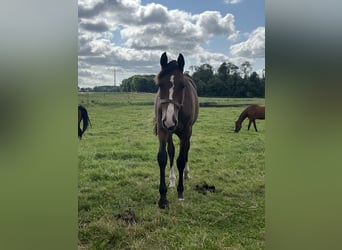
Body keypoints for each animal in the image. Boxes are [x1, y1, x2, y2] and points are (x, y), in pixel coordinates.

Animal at [154, 52, 199, 209]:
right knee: (172, 151)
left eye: (183, 86)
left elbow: (181, 159)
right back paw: (172, 180)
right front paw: (163, 198)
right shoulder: (163, 130)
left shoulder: (186, 132)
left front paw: (180, 192)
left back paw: (185, 173)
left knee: (186, 151)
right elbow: (163, 157)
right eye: (159, 85)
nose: (169, 120)